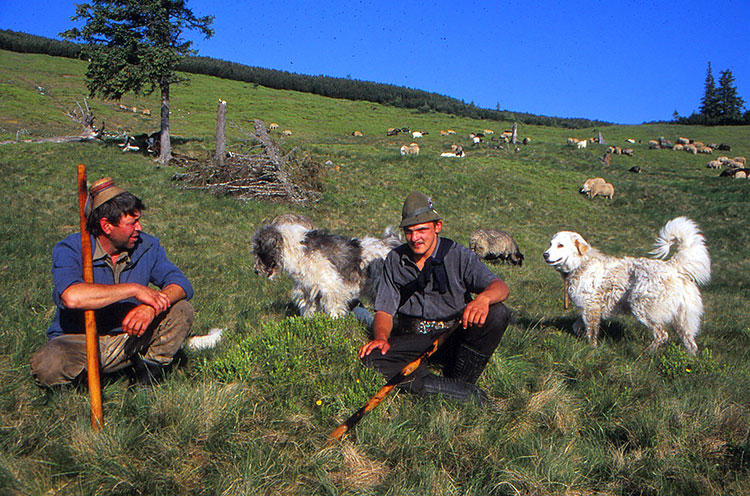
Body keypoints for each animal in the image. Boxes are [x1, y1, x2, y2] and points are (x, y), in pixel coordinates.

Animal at [253, 222, 402, 316]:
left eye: (260, 253)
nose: (256, 271)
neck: (298, 250)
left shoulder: (331, 287)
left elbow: (333, 308)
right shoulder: (308, 290)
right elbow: (308, 310)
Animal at [548, 217, 712, 352]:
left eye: (561, 245)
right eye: (551, 244)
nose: (545, 254)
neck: (581, 264)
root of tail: (672, 266)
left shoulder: (591, 309)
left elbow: (592, 334)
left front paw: (592, 350)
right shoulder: (587, 309)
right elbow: (577, 326)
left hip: (642, 308)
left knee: (661, 335)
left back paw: (646, 354)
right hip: (681, 320)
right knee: (690, 343)